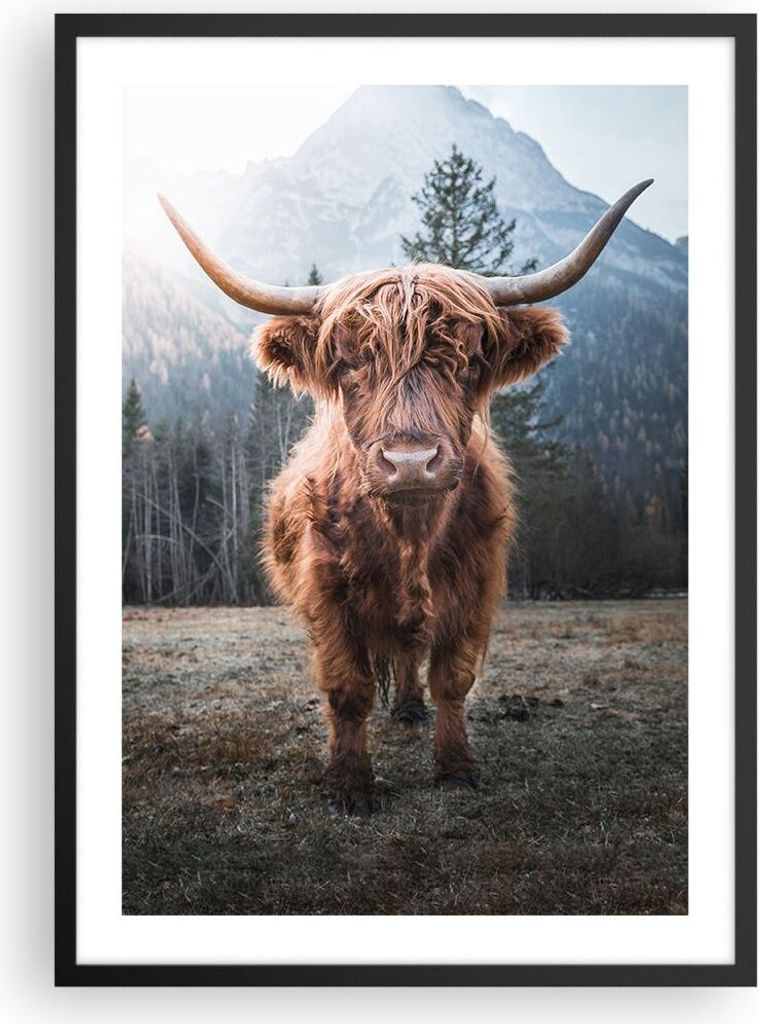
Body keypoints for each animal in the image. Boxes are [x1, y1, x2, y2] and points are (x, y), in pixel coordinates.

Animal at [159, 179, 651, 814]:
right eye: (348, 362)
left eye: (468, 359)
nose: (411, 462)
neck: (409, 535)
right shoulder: (327, 594)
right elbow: (348, 688)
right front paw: (349, 783)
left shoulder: (474, 587)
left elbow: (453, 679)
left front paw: (456, 766)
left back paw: (412, 709)